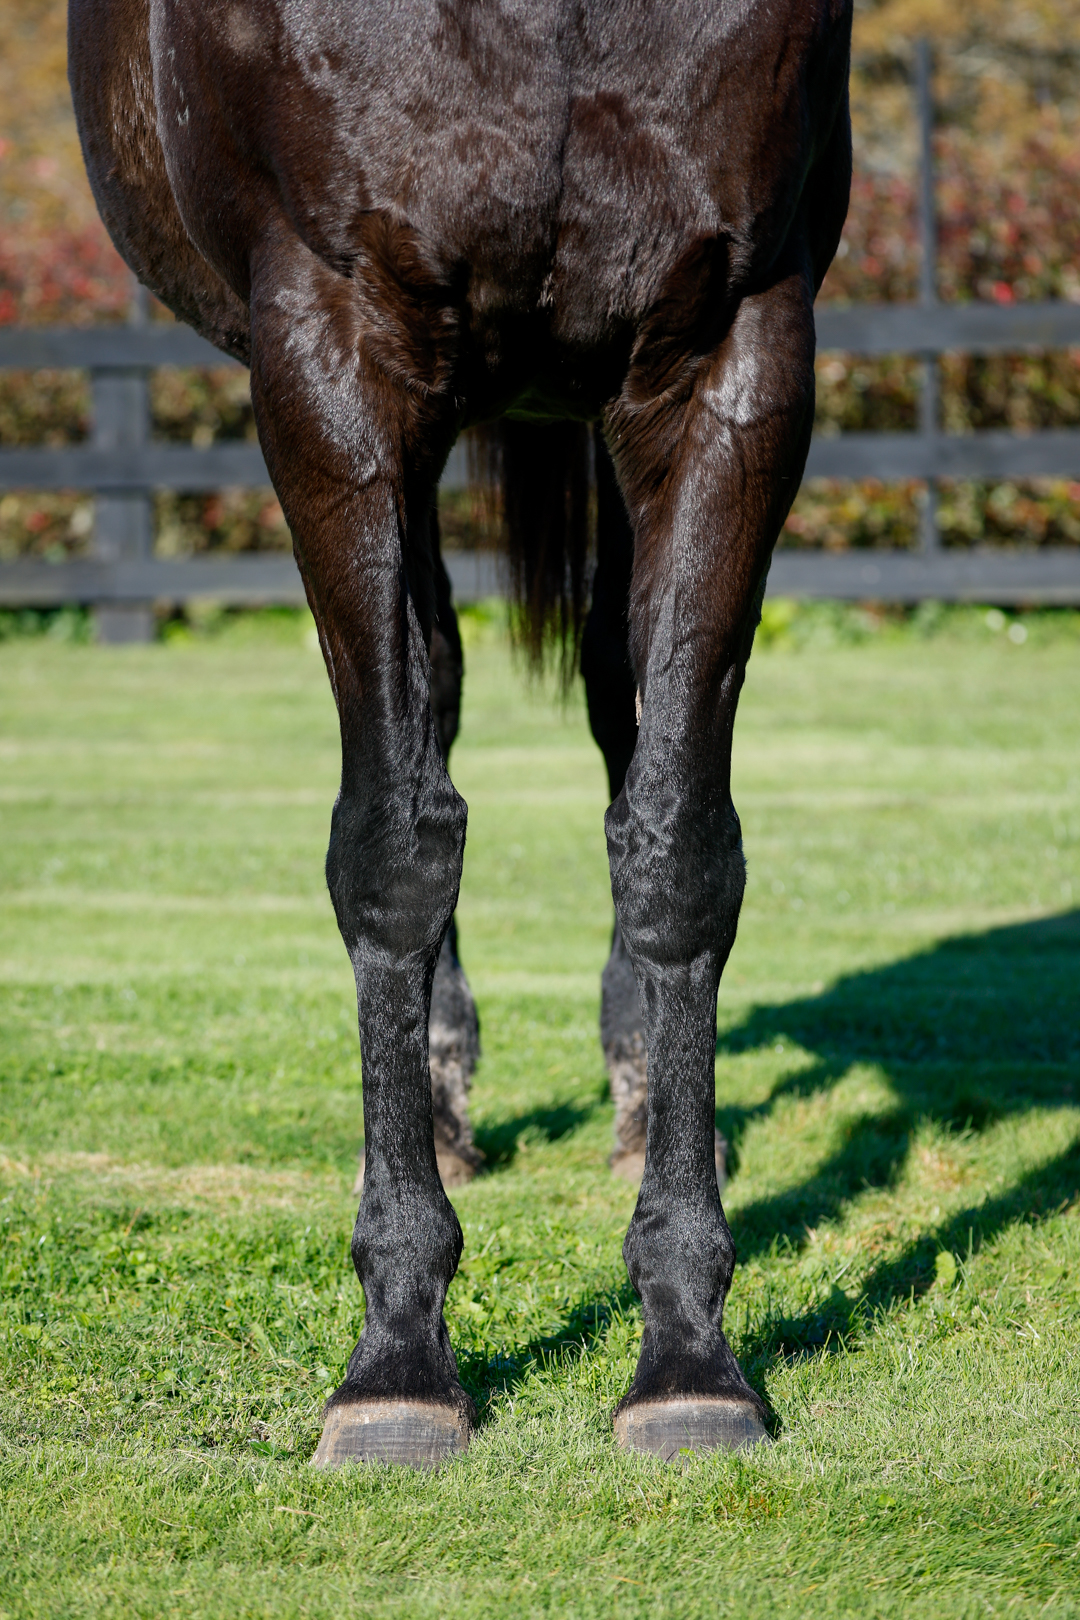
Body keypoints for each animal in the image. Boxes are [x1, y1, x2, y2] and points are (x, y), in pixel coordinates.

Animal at [69, 0, 853, 1467]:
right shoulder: (333, 359)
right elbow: (392, 844)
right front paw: (396, 1356)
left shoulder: (732, 351)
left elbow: (677, 846)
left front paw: (689, 1352)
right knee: (430, 709)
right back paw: (440, 1098)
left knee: (610, 702)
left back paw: (636, 1092)